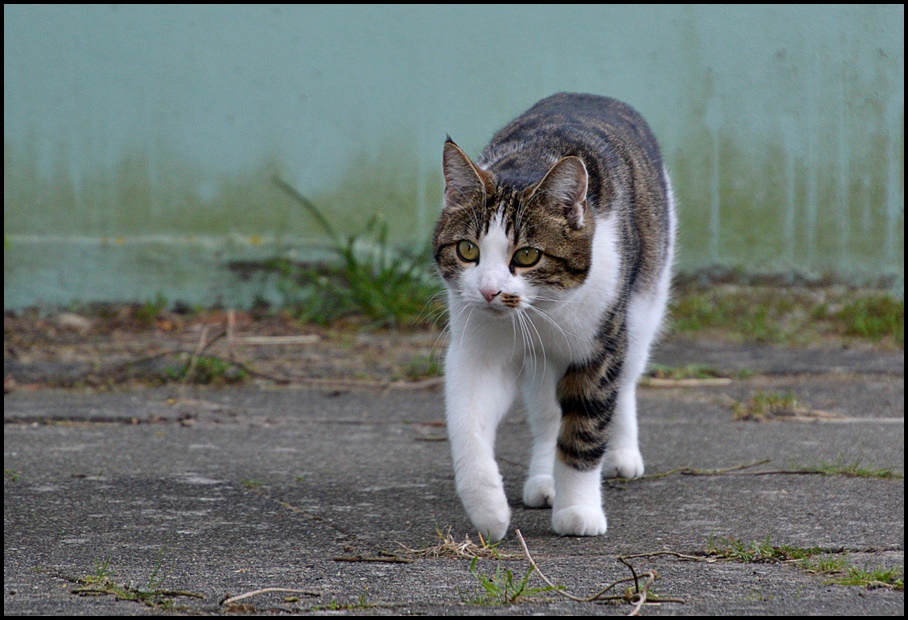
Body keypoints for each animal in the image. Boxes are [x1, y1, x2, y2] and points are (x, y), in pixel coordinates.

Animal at [432, 92, 672, 544]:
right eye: (468, 250)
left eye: (527, 255)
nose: (489, 290)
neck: (540, 310)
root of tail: (589, 95)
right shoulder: (477, 348)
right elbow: (468, 423)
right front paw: (488, 509)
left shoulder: (599, 348)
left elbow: (584, 430)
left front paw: (578, 509)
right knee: (547, 414)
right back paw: (545, 479)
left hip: (645, 301)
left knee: (626, 379)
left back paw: (622, 453)